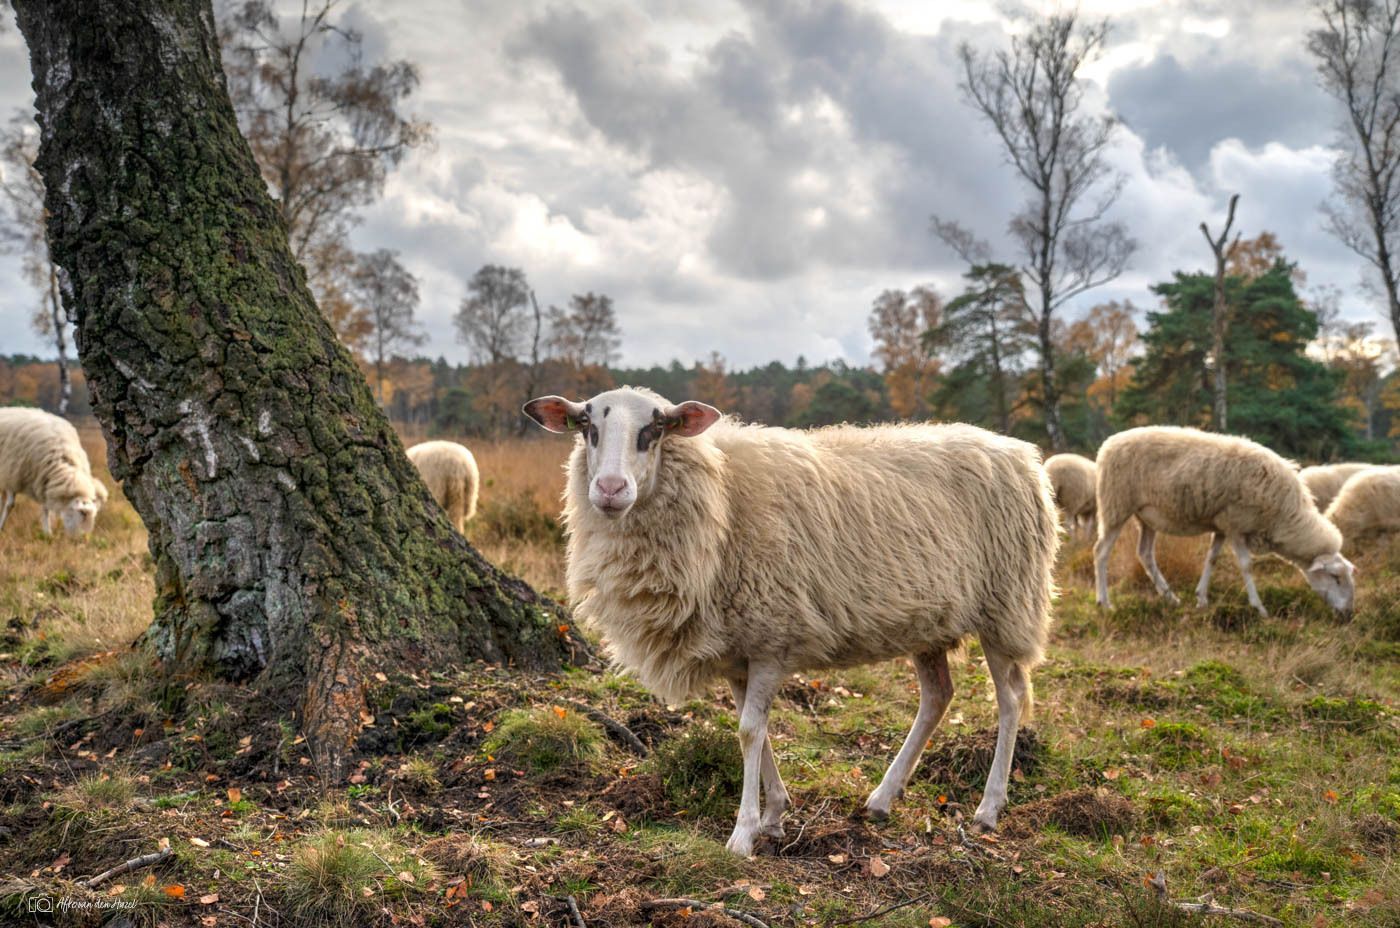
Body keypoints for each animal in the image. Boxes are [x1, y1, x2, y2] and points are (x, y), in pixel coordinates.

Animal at [0, 407, 108, 537]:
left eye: (93, 516)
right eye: (81, 513)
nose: (82, 538)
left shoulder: (44, 481)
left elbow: (45, 508)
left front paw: (47, 533)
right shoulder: (11, 474)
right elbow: (10, 504)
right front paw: (1, 526)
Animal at [524, 386, 1059, 858]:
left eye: (655, 429)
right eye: (587, 426)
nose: (610, 489)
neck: (721, 499)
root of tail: (1021, 454)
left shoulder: (770, 636)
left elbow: (748, 732)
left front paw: (743, 834)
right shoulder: (739, 649)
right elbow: (753, 730)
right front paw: (775, 815)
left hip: (1007, 605)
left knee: (1011, 699)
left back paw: (988, 808)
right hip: (931, 619)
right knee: (937, 697)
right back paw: (882, 799)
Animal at [1093, 426, 1354, 619]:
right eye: (1336, 578)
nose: (1349, 614)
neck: (1284, 516)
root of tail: (1108, 443)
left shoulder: (1221, 524)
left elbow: (1212, 559)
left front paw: (1201, 599)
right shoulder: (1236, 525)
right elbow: (1246, 565)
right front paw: (1259, 608)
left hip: (1146, 515)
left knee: (1145, 554)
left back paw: (1171, 598)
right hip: (1116, 506)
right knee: (1101, 552)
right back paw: (1105, 602)